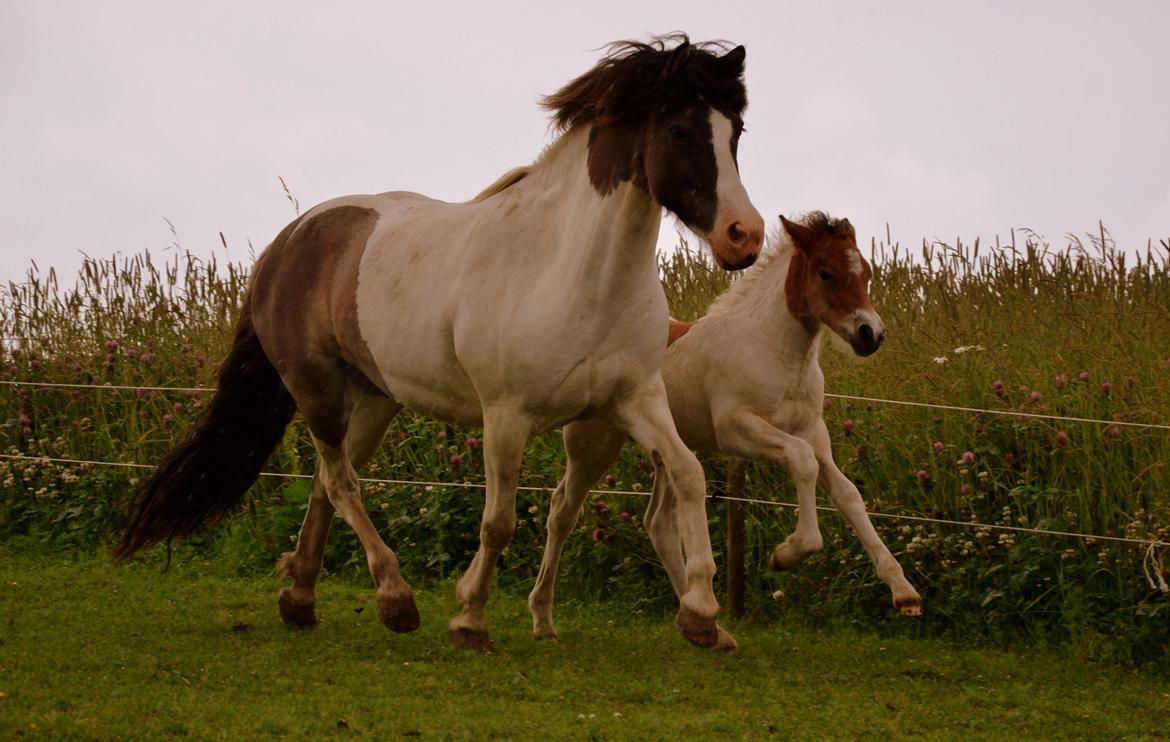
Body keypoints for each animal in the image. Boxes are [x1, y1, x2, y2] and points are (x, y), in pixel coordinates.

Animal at [114, 34, 762, 646]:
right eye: (679, 128)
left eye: (735, 131)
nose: (745, 236)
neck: (572, 272)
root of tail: (287, 242)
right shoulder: (506, 415)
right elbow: (499, 521)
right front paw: (469, 619)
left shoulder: (633, 400)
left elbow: (689, 475)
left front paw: (703, 615)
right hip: (315, 389)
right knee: (341, 482)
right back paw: (394, 598)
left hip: (373, 400)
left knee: (327, 483)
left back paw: (300, 600)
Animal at [531, 210, 921, 646]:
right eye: (826, 273)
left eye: (866, 272)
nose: (871, 334)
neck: (773, 350)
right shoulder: (737, 430)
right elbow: (802, 462)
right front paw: (787, 554)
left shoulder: (813, 433)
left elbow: (848, 494)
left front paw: (905, 593)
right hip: (593, 445)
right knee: (563, 510)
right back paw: (544, 621)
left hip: (665, 449)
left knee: (658, 523)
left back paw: (700, 619)